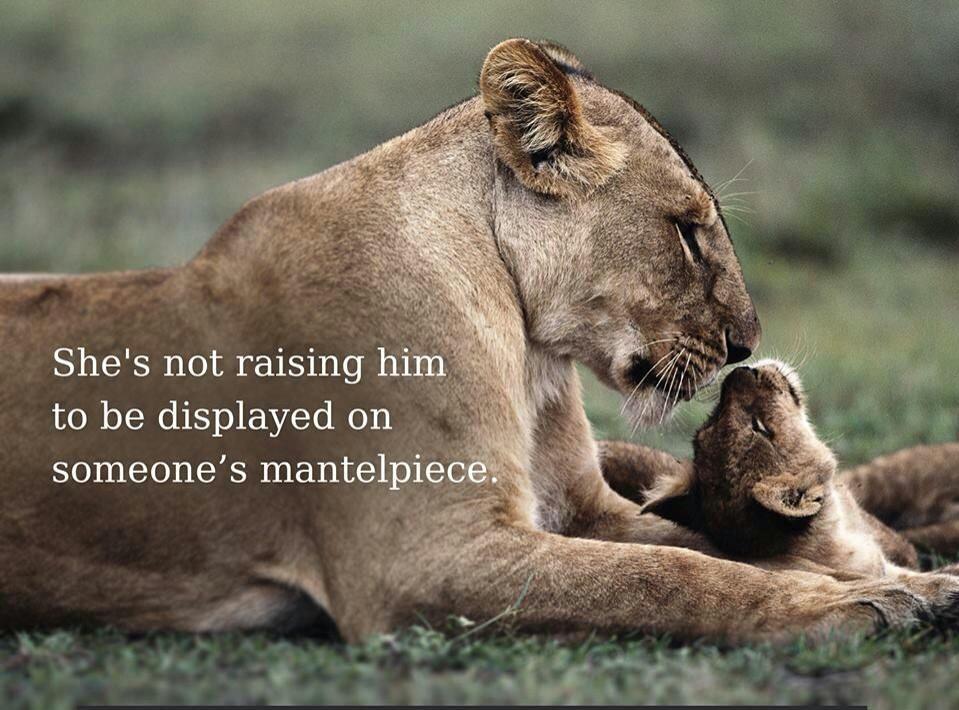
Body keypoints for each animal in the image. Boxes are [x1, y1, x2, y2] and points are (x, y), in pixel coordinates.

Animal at [2, 38, 958, 643]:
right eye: (687, 232)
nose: (742, 348)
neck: (528, 352)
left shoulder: (584, 508)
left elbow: (724, 549)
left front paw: (916, 585)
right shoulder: (421, 558)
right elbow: (672, 577)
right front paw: (844, 609)